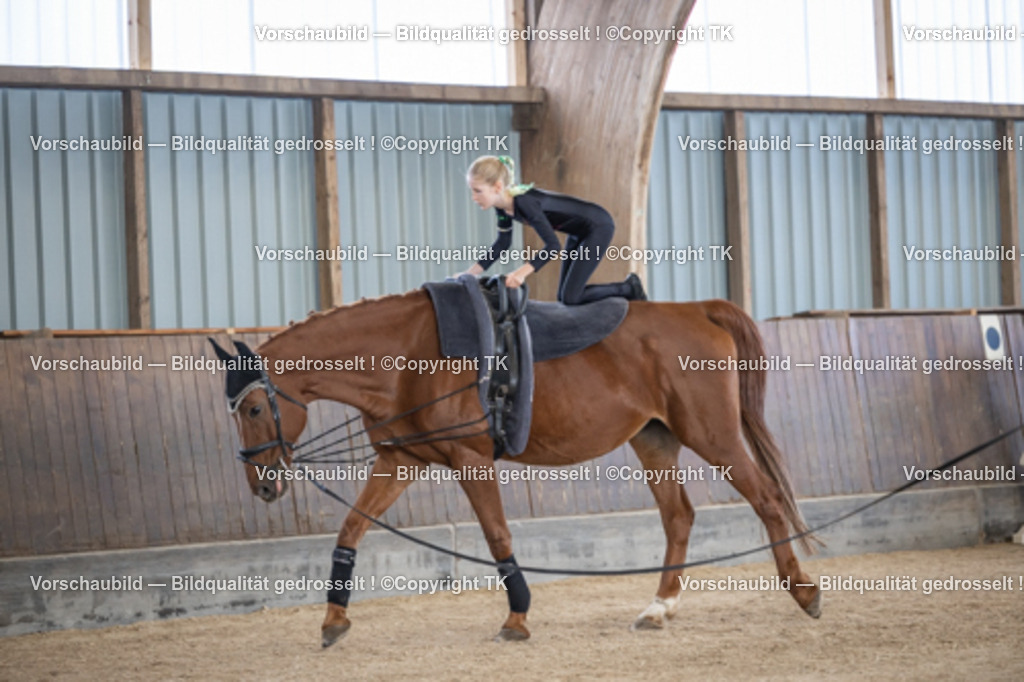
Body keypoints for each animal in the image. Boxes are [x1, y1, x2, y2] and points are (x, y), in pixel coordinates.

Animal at [209, 289, 822, 648]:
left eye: (256, 409)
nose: (262, 485)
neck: (409, 356)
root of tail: (696, 308)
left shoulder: (470, 459)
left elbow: (497, 534)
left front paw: (518, 617)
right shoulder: (402, 460)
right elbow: (351, 528)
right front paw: (334, 619)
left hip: (713, 435)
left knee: (767, 499)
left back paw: (804, 592)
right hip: (656, 441)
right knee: (679, 518)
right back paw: (658, 608)